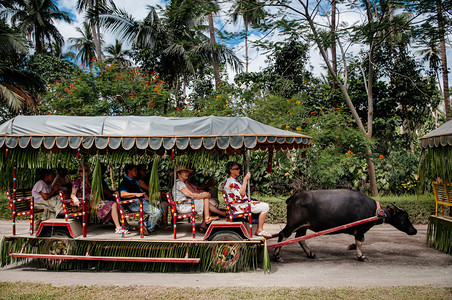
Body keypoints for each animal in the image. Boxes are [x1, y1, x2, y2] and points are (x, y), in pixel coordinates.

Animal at [272, 190, 416, 262]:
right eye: (404, 217)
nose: (414, 231)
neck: (374, 211)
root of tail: (293, 197)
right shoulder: (360, 229)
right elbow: (360, 241)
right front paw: (361, 256)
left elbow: (360, 241)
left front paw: (351, 247)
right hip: (293, 224)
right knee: (283, 235)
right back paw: (277, 256)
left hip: (303, 226)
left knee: (300, 238)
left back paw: (311, 254)